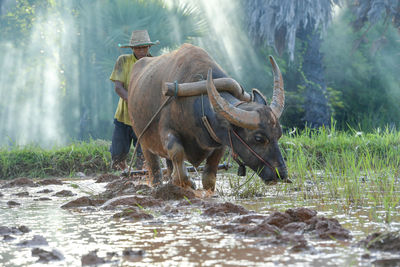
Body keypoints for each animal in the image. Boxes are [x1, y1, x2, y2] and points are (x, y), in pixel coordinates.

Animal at [128, 44, 288, 191]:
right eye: (259, 138)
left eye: (279, 135)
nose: (281, 174)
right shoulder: (167, 131)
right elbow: (178, 155)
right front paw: (188, 183)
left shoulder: (221, 140)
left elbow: (209, 178)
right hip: (144, 142)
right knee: (155, 171)